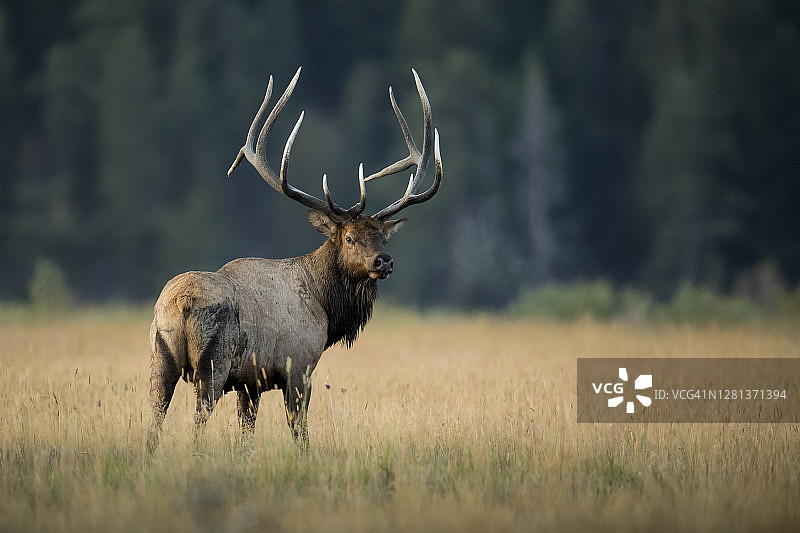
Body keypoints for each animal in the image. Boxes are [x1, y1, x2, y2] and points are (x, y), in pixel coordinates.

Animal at [147, 67, 442, 452]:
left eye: (383, 236)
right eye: (349, 238)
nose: (384, 261)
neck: (326, 306)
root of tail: (180, 303)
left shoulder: (250, 381)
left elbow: (246, 433)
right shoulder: (299, 366)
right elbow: (299, 430)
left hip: (160, 358)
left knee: (153, 421)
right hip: (213, 363)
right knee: (197, 421)